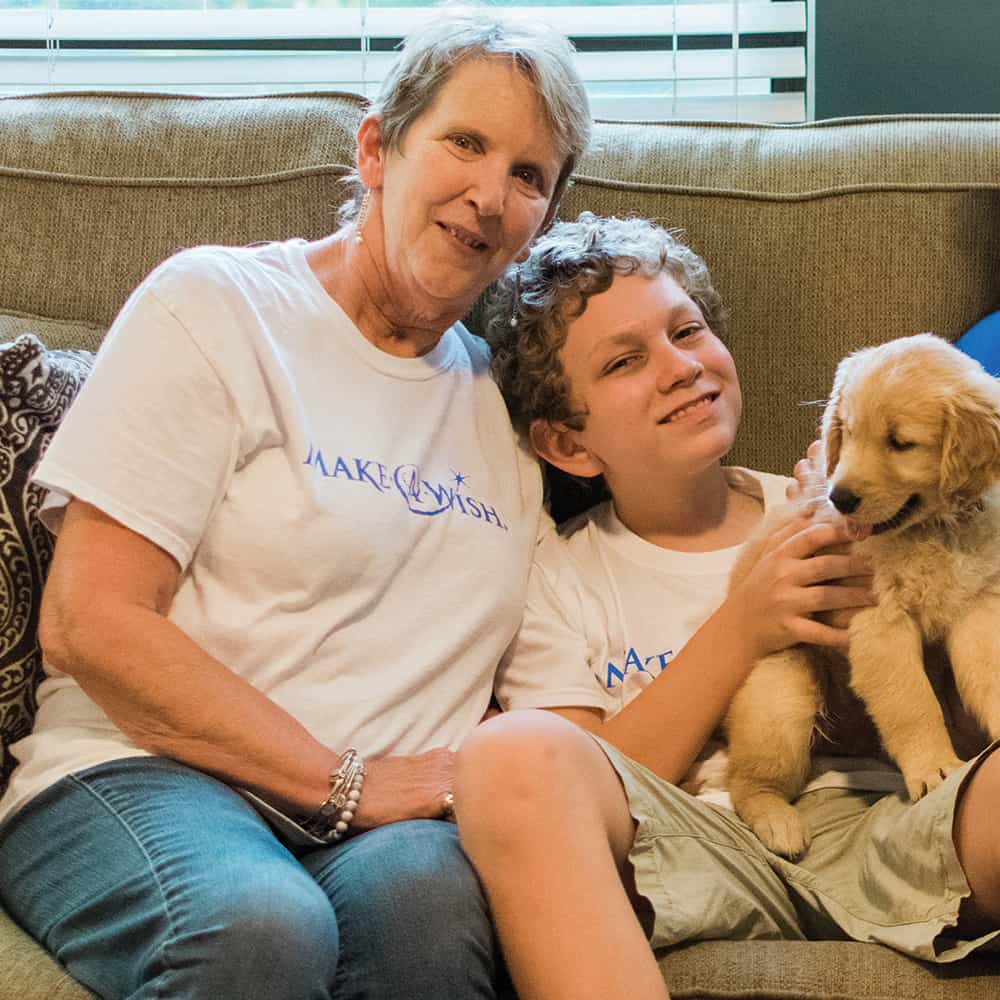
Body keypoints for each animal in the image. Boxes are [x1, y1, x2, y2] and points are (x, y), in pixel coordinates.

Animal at [728, 334, 1000, 860]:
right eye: (847, 433)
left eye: (900, 442)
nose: (839, 498)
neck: (932, 531)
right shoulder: (878, 622)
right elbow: (911, 701)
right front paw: (934, 768)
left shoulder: (976, 606)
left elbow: (989, 673)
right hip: (781, 697)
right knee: (744, 783)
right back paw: (777, 821)